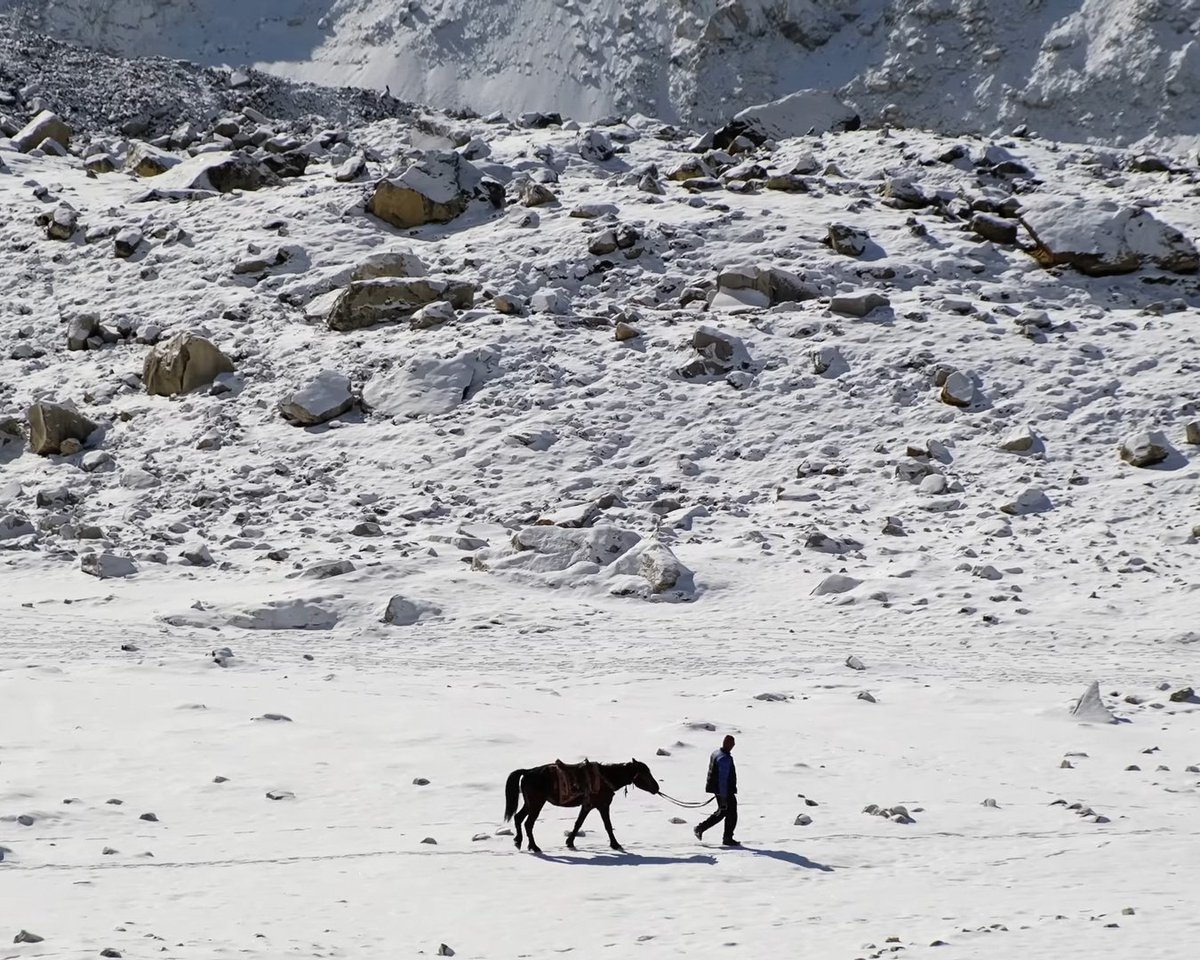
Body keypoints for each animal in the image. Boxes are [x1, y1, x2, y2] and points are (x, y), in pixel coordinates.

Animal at [501, 758, 662, 854]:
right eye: (644, 773)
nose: (657, 787)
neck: (605, 778)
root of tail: (527, 772)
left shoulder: (587, 806)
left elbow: (578, 823)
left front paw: (570, 842)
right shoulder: (602, 805)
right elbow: (607, 825)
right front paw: (616, 845)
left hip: (530, 803)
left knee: (518, 818)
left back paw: (518, 841)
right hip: (536, 803)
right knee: (528, 823)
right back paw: (534, 847)